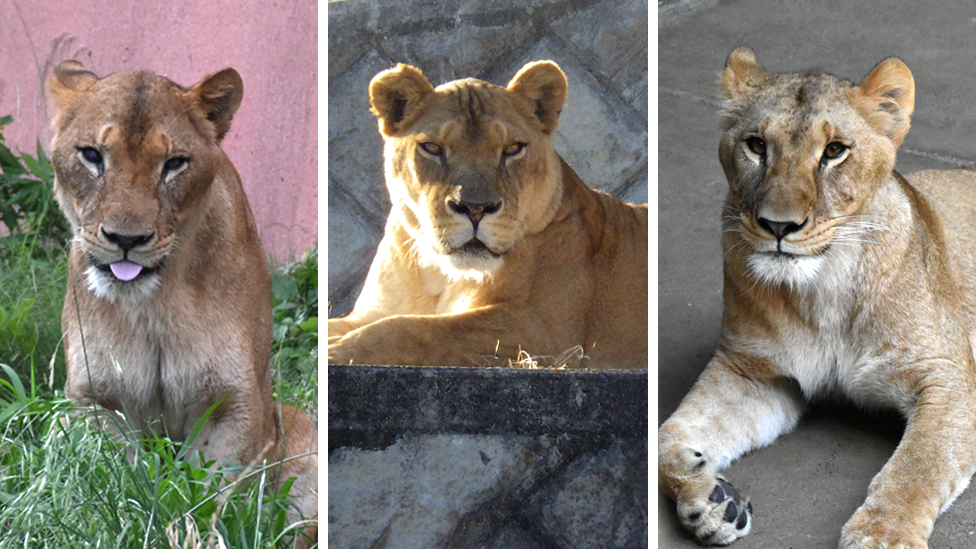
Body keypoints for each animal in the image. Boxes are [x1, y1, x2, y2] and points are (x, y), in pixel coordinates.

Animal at [47, 60, 317, 542]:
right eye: (92, 156)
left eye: (174, 164)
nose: (127, 240)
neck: (154, 305)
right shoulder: (96, 400)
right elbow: (118, 484)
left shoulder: (235, 404)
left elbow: (211, 496)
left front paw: (196, 535)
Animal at [327, 61, 648, 369]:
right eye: (432, 148)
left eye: (513, 149)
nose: (475, 208)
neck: (439, 274)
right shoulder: (373, 311)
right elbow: (346, 323)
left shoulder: (545, 330)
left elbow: (419, 329)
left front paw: (335, 351)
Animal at [659, 47, 976, 548]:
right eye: (756, 146)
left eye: (834, 151)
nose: (778, 225)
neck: (824, 291)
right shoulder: (752, 371)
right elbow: (665, 440)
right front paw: (712, 502)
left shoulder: (947, 378)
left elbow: (916, 468)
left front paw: (882, 536)